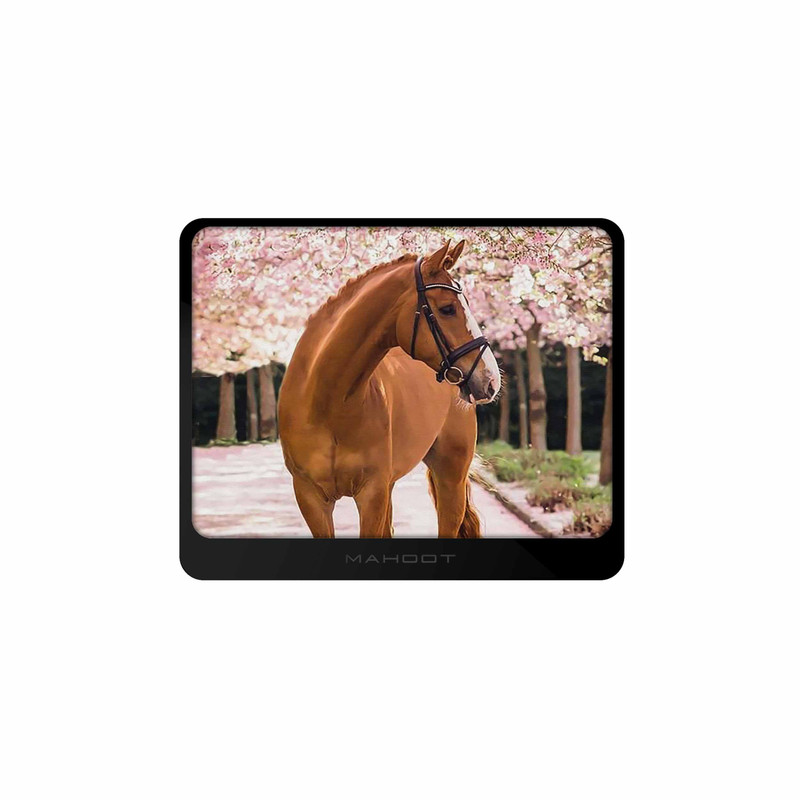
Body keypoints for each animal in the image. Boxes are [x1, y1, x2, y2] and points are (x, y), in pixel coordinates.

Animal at [278, 240, 501, 538]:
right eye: (447, 309)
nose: (491, 379)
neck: (328, 403)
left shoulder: (372, 493)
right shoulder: (310, 496)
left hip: (450, 475)